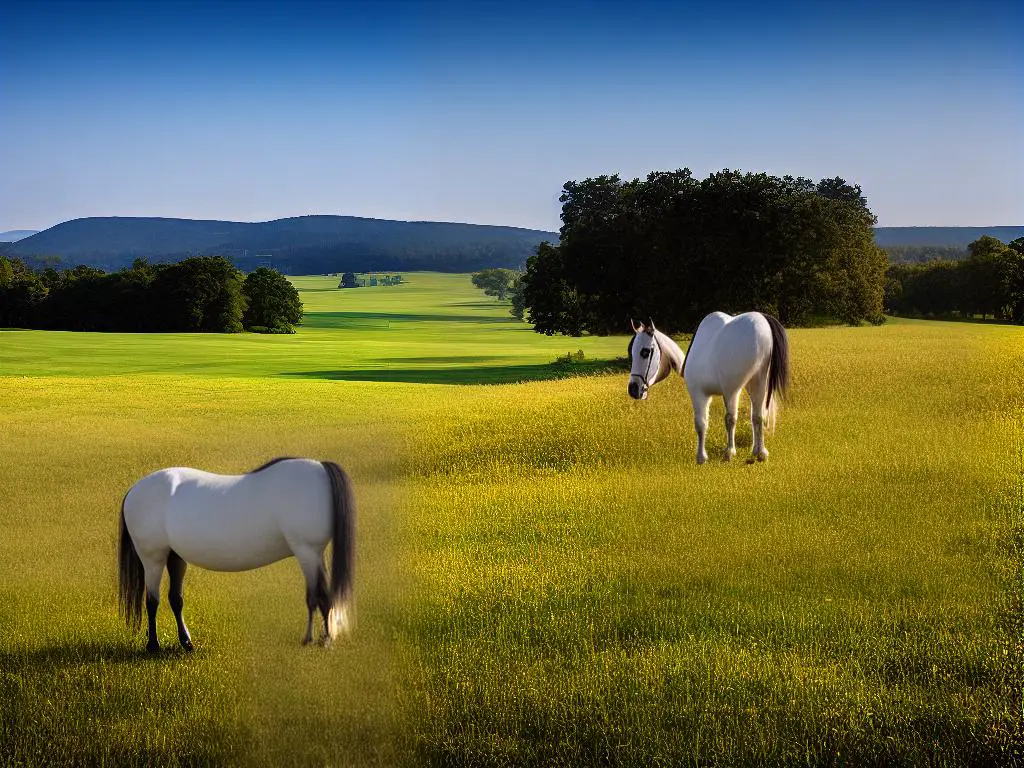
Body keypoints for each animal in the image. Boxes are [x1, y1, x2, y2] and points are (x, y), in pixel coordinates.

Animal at [117, 460, 352, 651]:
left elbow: (323, 595)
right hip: (152, 558)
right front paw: (317, 639)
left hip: (175, 557)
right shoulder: (307, 551)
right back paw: (153, 645)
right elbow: (315, 596)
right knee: (152, 600)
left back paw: (186, 642)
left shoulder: (314, 553)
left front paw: (324, 638)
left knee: (175, 599)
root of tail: (134, 491)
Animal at [622, 315, 790, 466]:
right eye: (631, 351)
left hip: (733, 390)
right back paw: (759, 452)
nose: (633, 388)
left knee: (732, 419)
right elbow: (753, 418)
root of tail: (764, 321)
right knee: (757, 417)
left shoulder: (701, 394)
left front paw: (702, 457)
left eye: (645, 352)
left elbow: (701, 424)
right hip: (759, 385)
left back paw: (730, 452)